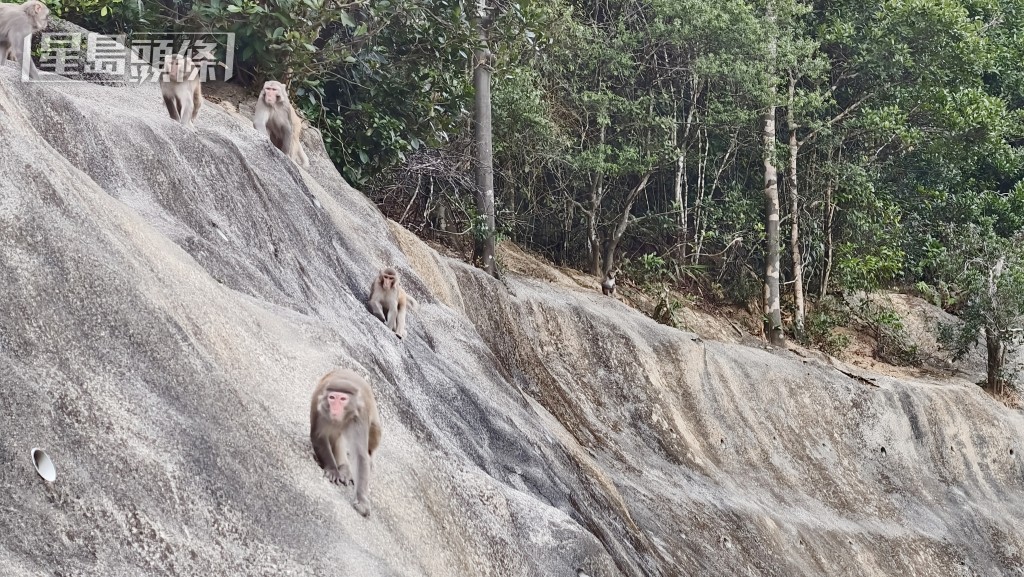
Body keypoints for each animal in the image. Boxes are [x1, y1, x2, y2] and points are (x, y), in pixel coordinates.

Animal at [309, 371, 382, 518]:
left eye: (342, 399)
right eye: (332, 397)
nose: (335, 408)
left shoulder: (360, 415)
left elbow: (360, 455)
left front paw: (362, 500)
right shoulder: (319, 407)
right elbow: (319, 437)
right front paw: (332, 470)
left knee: (374, 435)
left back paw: (348, 469)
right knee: (335, 436)